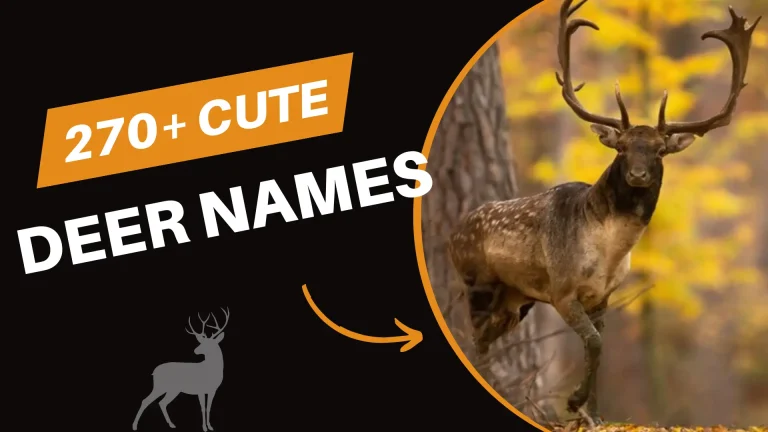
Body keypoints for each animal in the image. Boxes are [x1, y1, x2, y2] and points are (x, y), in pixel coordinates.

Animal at [448, 0, 759, 424]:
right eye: (622, 147)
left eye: (659, 150)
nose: (639, 174)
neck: (609, 252)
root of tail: (452, 233)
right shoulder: (562, 290)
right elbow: (594, 344)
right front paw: (574, 404)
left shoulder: (604, 296)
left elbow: (599, 349)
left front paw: (592, 414)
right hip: (476, 283)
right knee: (475, 340)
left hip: (516, 299)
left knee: (485, 341)